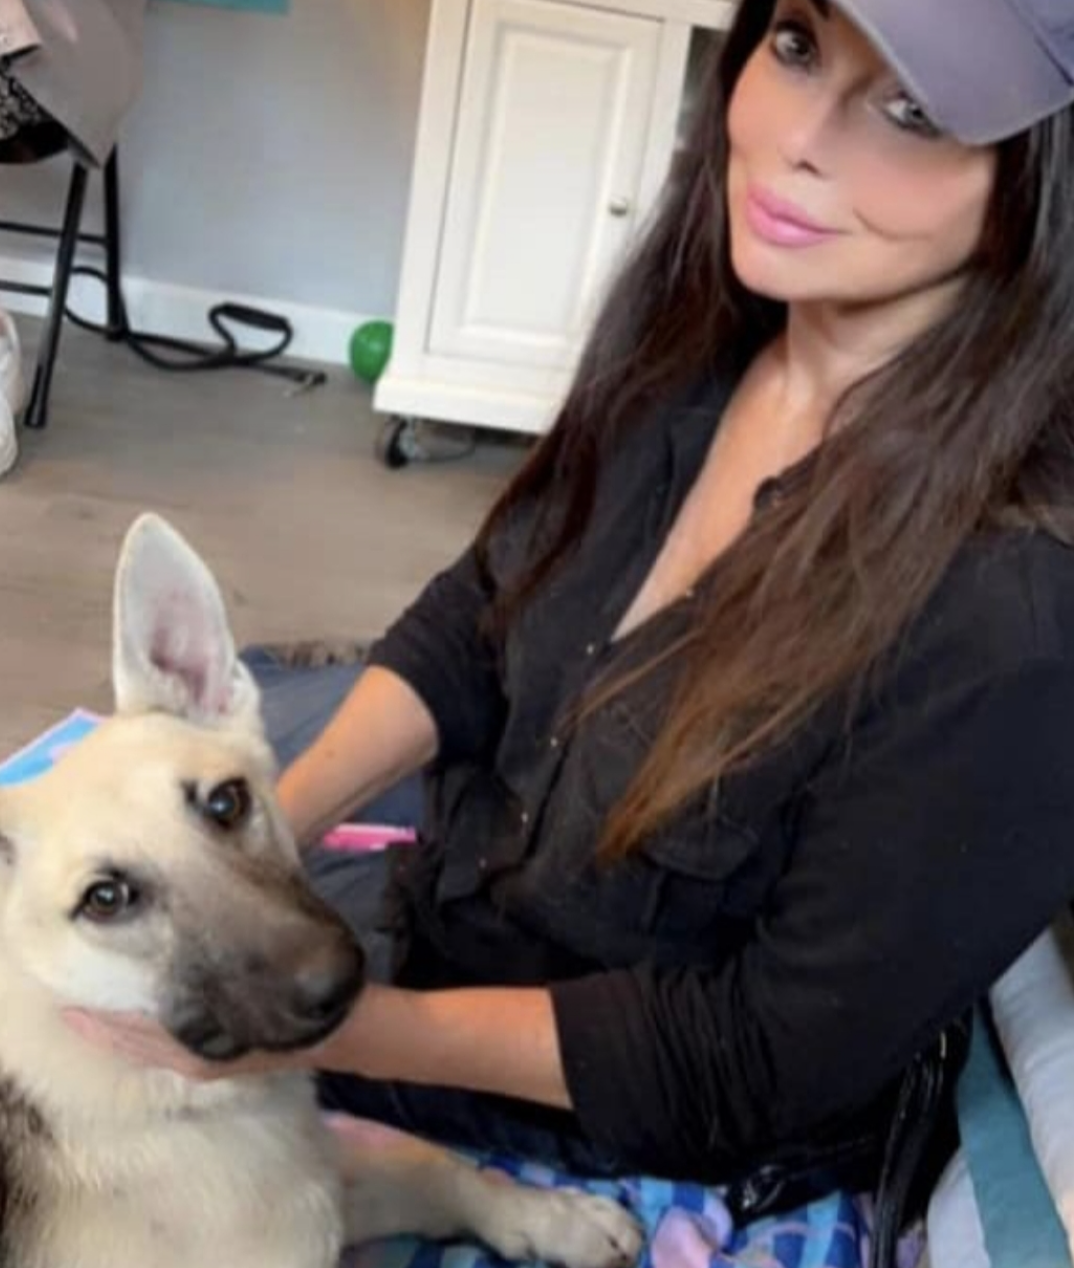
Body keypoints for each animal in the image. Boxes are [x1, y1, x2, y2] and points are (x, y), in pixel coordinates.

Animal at [0, 513, 644, 1268]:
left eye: (226, 802)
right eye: (105, 899)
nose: (334, 980)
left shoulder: (325, 1193)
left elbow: (437, 1166)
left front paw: (555, 1217)